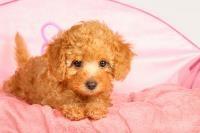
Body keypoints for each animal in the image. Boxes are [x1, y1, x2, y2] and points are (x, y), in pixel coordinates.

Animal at [3, 20, 134, 120]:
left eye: (103, 63)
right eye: (77, 63)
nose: (91, 85)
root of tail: (27, 63)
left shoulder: (104, 91)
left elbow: (100, 97)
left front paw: (96, 108)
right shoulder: (53, 95)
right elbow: (67, 97)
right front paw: (75, 108)